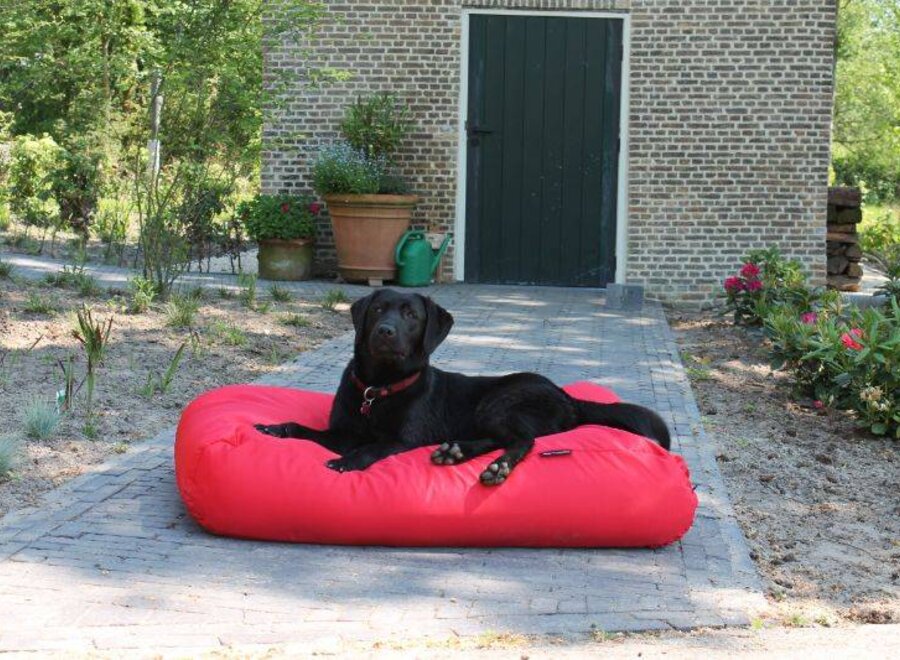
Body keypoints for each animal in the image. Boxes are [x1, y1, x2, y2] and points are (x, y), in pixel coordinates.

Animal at [253, 288, 668, 484]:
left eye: (411, 315)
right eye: (377, 309)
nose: (385, 332)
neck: (379, 389)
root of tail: (567, 396)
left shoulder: (401, 440)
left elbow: (370, 449)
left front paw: (346, 462)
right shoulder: (341, 431)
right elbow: (303, 429)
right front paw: (275, 429)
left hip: (500, 401)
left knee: (522, 440)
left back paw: (497, 468)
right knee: (497, 438)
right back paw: (455, 452)